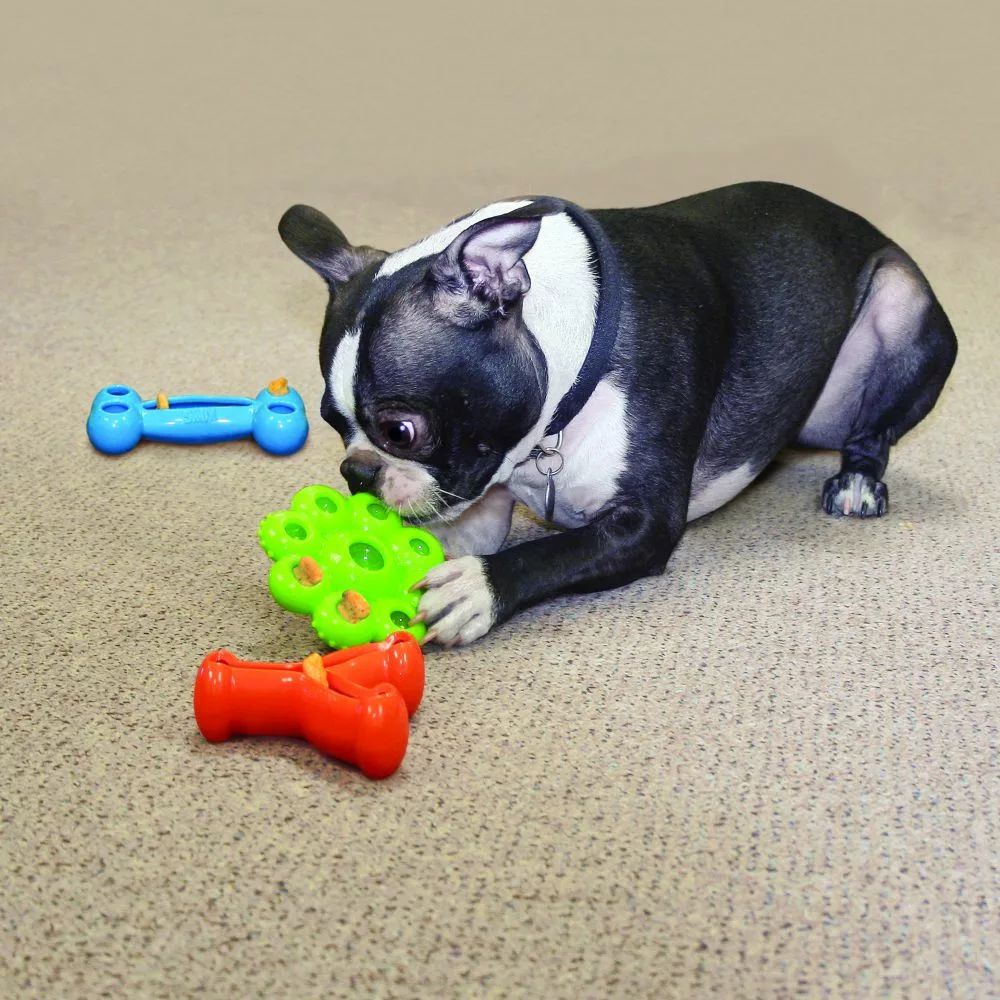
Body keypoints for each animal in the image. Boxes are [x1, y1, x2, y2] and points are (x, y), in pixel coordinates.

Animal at [278, 182, 957, 646]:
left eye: (402, 430)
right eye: (332, 423)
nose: (357, 473)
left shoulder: (645, 525)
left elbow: (552, 554)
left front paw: (476, 587)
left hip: (901, 308)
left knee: (873, 431)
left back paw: (858, 481)